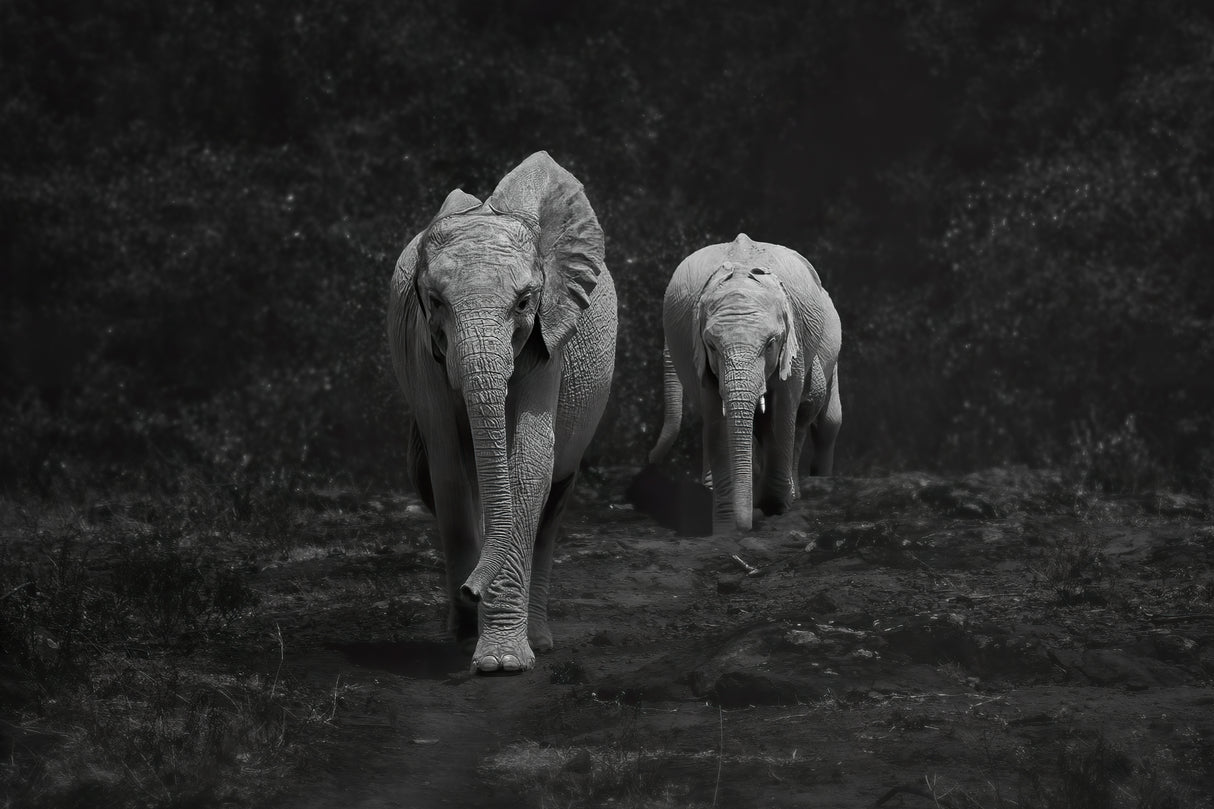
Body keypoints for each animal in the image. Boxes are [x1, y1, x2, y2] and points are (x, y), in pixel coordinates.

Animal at [387, 152, 617, 673]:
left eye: (525, 301)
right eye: (435, 302)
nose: (471, 589)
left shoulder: (550, 334)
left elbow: (529, 462)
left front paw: (503, 663)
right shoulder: (420, 347)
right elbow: (449, 470)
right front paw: (468, 641)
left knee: (555, 498)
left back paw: (540, 640)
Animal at [648, 233, 841, 534]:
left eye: (771, 343)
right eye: (712, 346)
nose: (650, 462)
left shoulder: (794, 340)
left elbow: (783, 411)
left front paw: (774, 507)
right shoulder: (699, 354)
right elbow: (717, 420)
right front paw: (727, 525)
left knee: (826, 422)